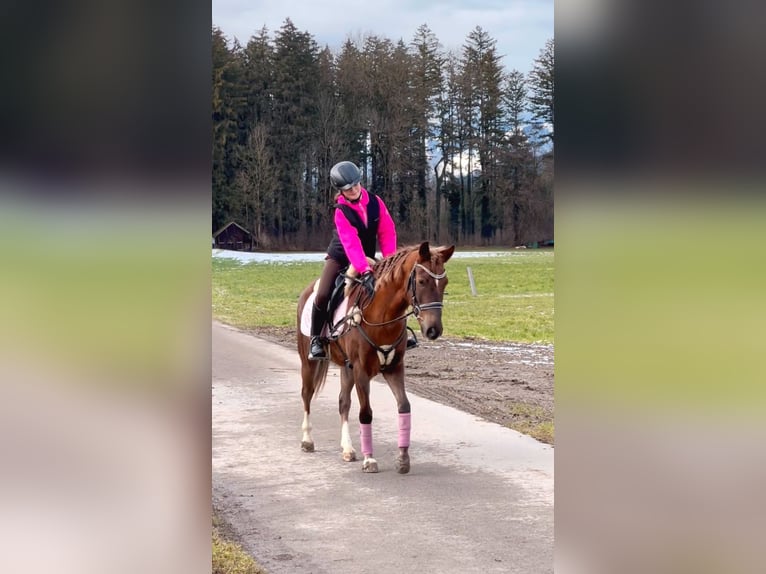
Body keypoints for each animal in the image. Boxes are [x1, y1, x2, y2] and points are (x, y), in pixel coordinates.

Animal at [298, 241, 456, 474]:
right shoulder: (362, 371)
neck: (382, 316)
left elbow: (404, 406)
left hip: (347, 368)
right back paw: (307, 440)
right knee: (307, 395)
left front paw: (403, 459)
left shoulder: (394, 369)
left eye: (444, 282)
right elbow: (366, 413)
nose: (433, 330)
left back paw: (348, 448)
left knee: (343, 402)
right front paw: (370, 460)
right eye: (421, 281)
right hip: (309, 362)